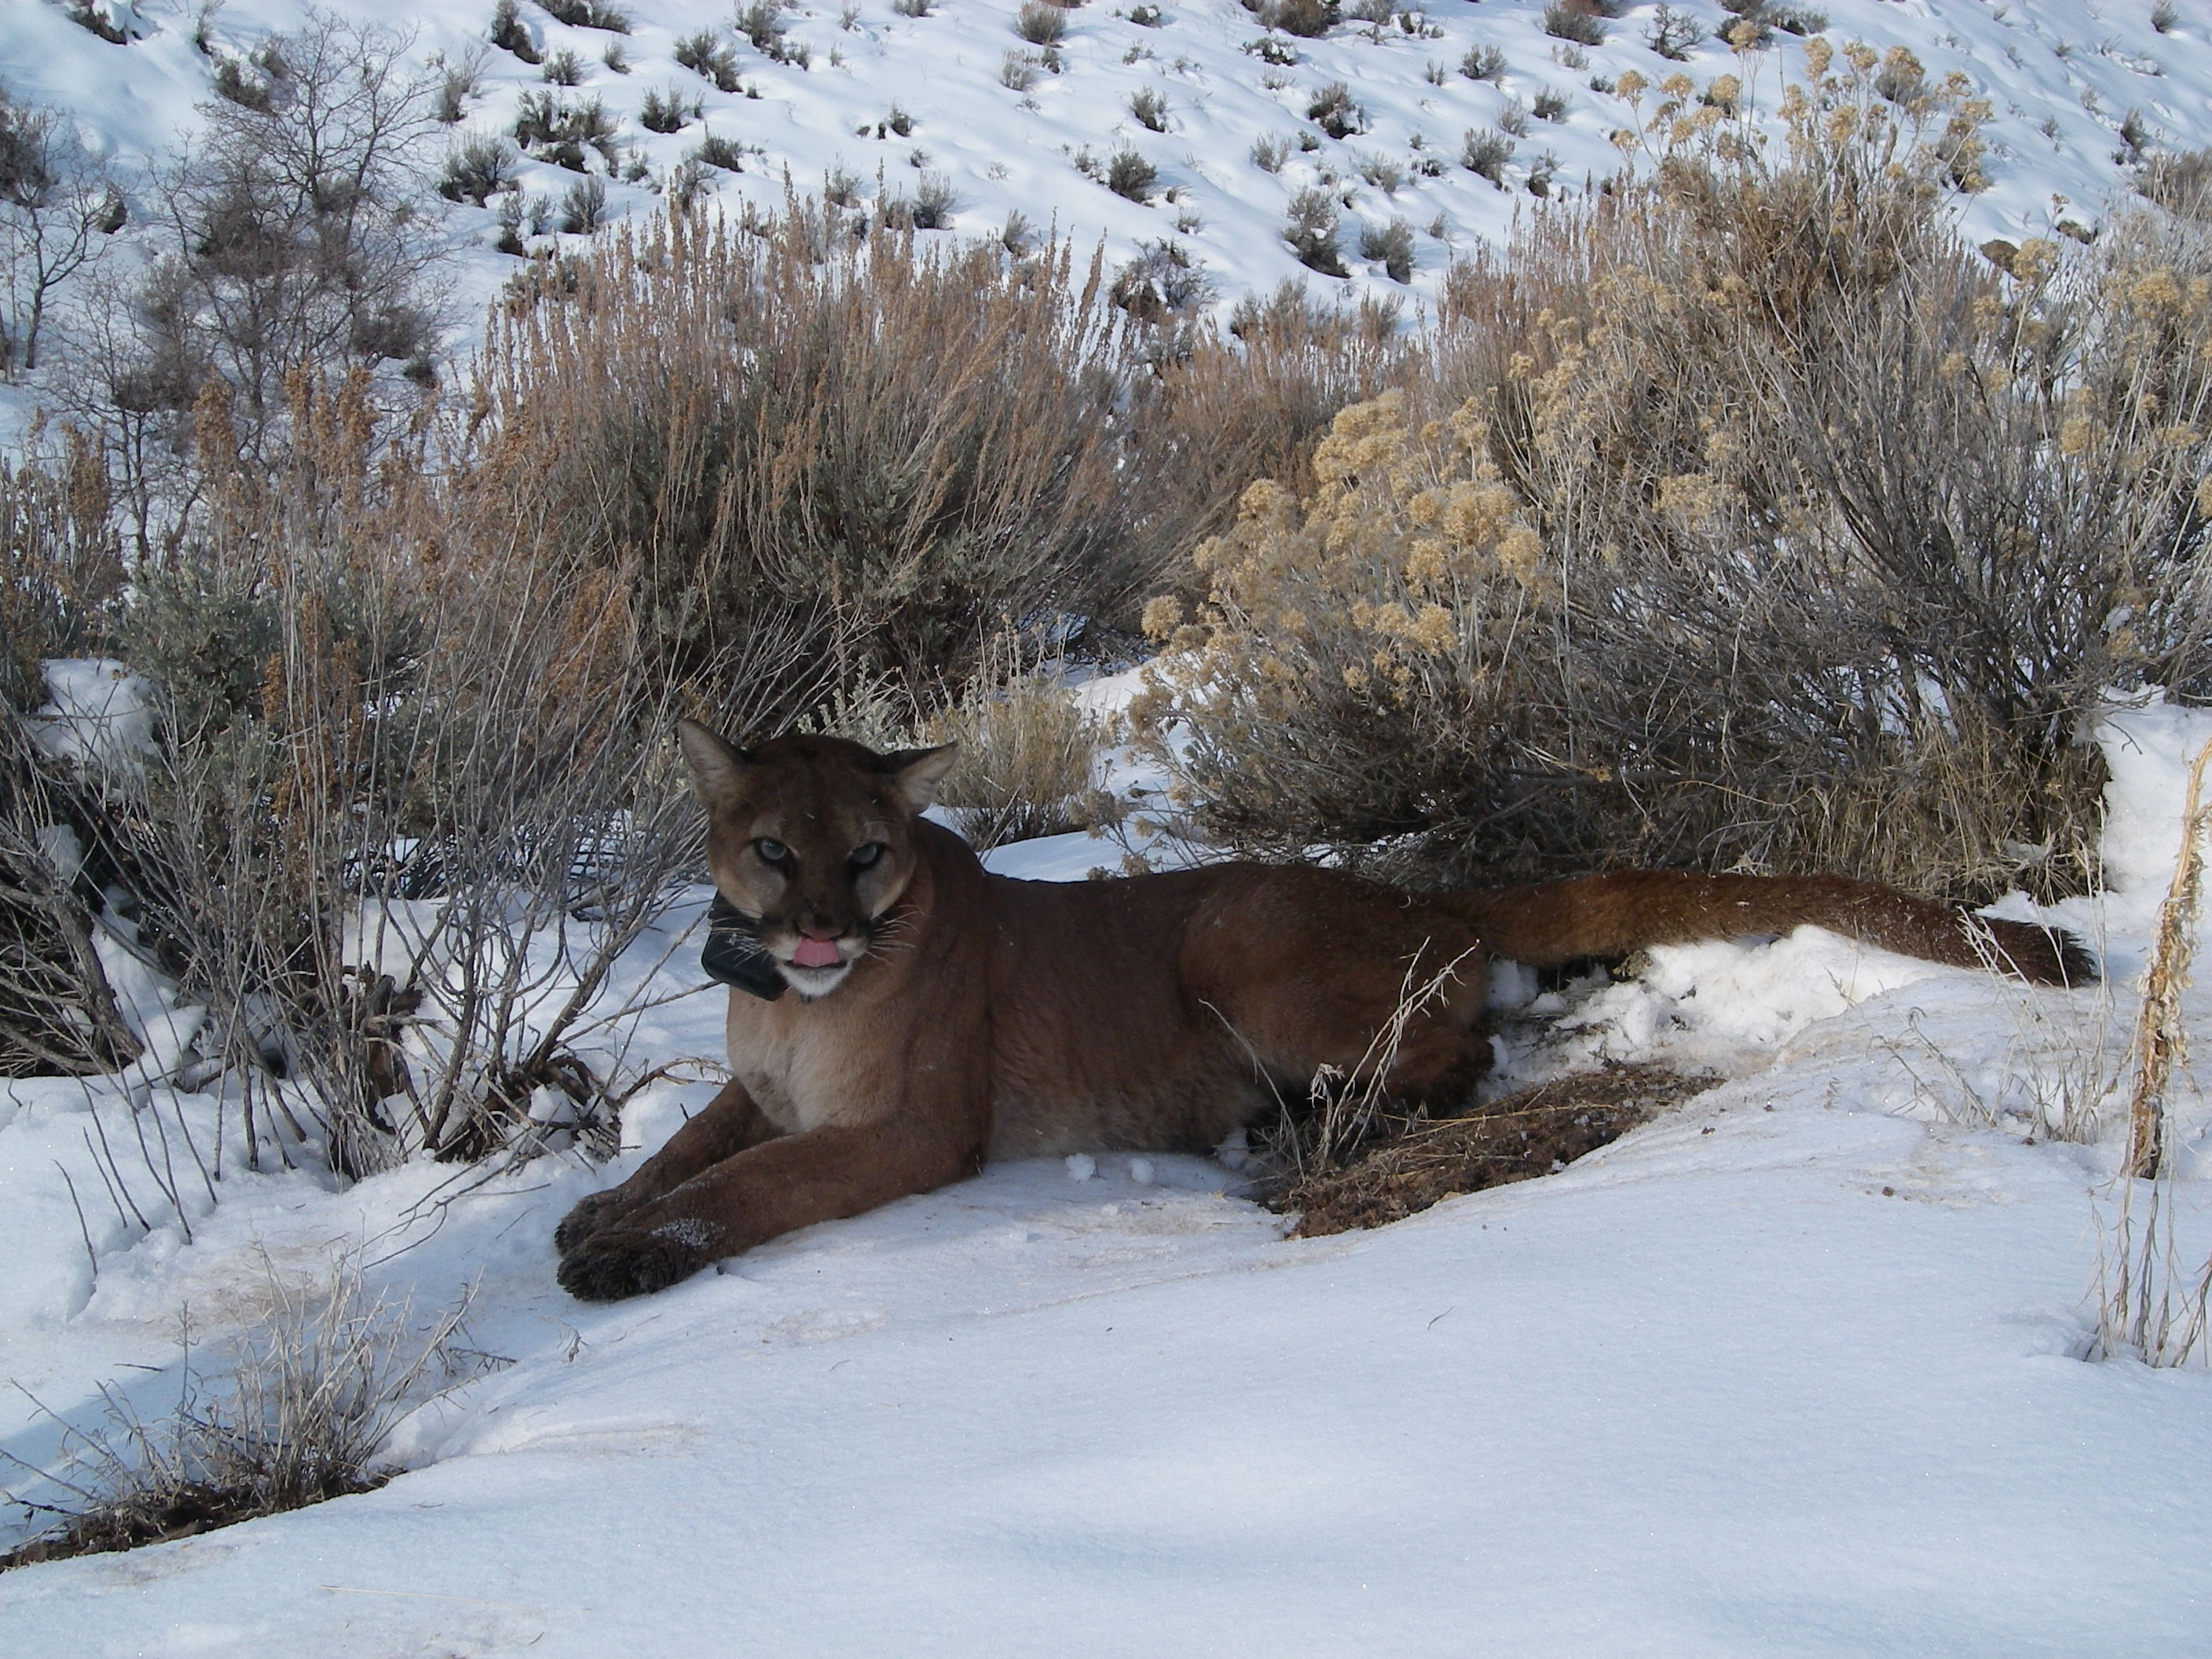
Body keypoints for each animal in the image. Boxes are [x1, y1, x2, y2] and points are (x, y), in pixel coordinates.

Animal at [553, 721, 2088, 1309]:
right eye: (773, 850)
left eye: (867, 854)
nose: (817, 930)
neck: (797, 1012)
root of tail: (1430, 894)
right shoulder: (761, 1083)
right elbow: (696, 1141)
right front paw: (602, 1208)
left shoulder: (910, 1130)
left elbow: (752, 1184)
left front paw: (625, 1253)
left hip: (1235, 947)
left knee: (1461, 1046)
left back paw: (1317, 1120)